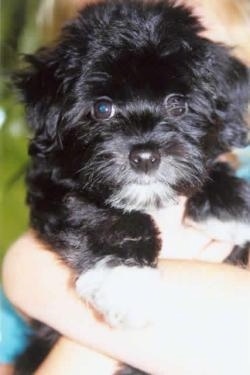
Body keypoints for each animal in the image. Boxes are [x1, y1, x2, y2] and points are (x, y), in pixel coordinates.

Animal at [15, 0, 250, 374]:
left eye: (177, 104)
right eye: (102, 108)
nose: (145, 156)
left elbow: (204, 168)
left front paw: (229, 206)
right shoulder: (50, 186)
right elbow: (103, 217)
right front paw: (126, 282)